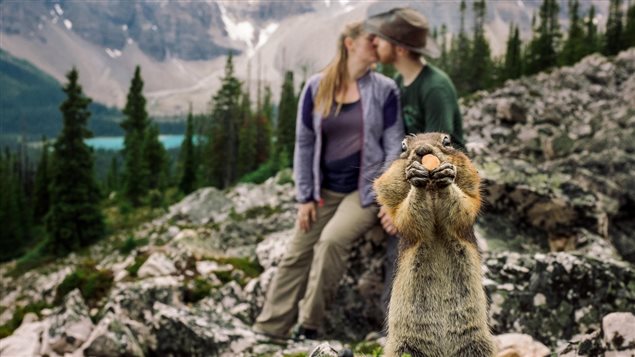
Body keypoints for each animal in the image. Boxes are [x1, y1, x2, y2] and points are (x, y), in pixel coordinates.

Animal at [372, 132, 496, 356]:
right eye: (403, 146)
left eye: (447, 141)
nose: (422, 150)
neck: (432, 190)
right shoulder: (393, 201)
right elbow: (405, 215)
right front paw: (416, 178)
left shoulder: (472, 188)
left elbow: (465, 205)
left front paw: (446, 176)